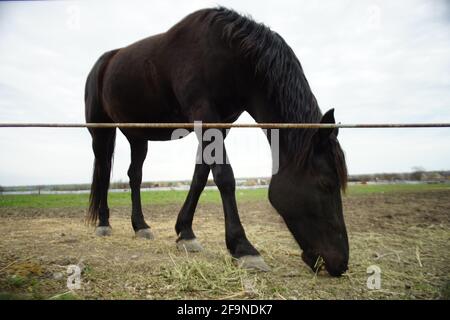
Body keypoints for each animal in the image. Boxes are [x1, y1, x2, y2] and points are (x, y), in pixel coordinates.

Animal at [86, 7, 350, 278]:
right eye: (326, 184)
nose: (341, 263)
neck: (228, 55)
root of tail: (104, 62)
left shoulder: (221, 125)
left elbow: (201, 176)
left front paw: (186, 233)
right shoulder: (204, 115)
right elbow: (224, 176)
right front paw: (243, 247)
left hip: (138, 136)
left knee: (135, 176)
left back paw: (140, 226)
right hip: (100, 132)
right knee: (104, 171)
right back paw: (104, 223)